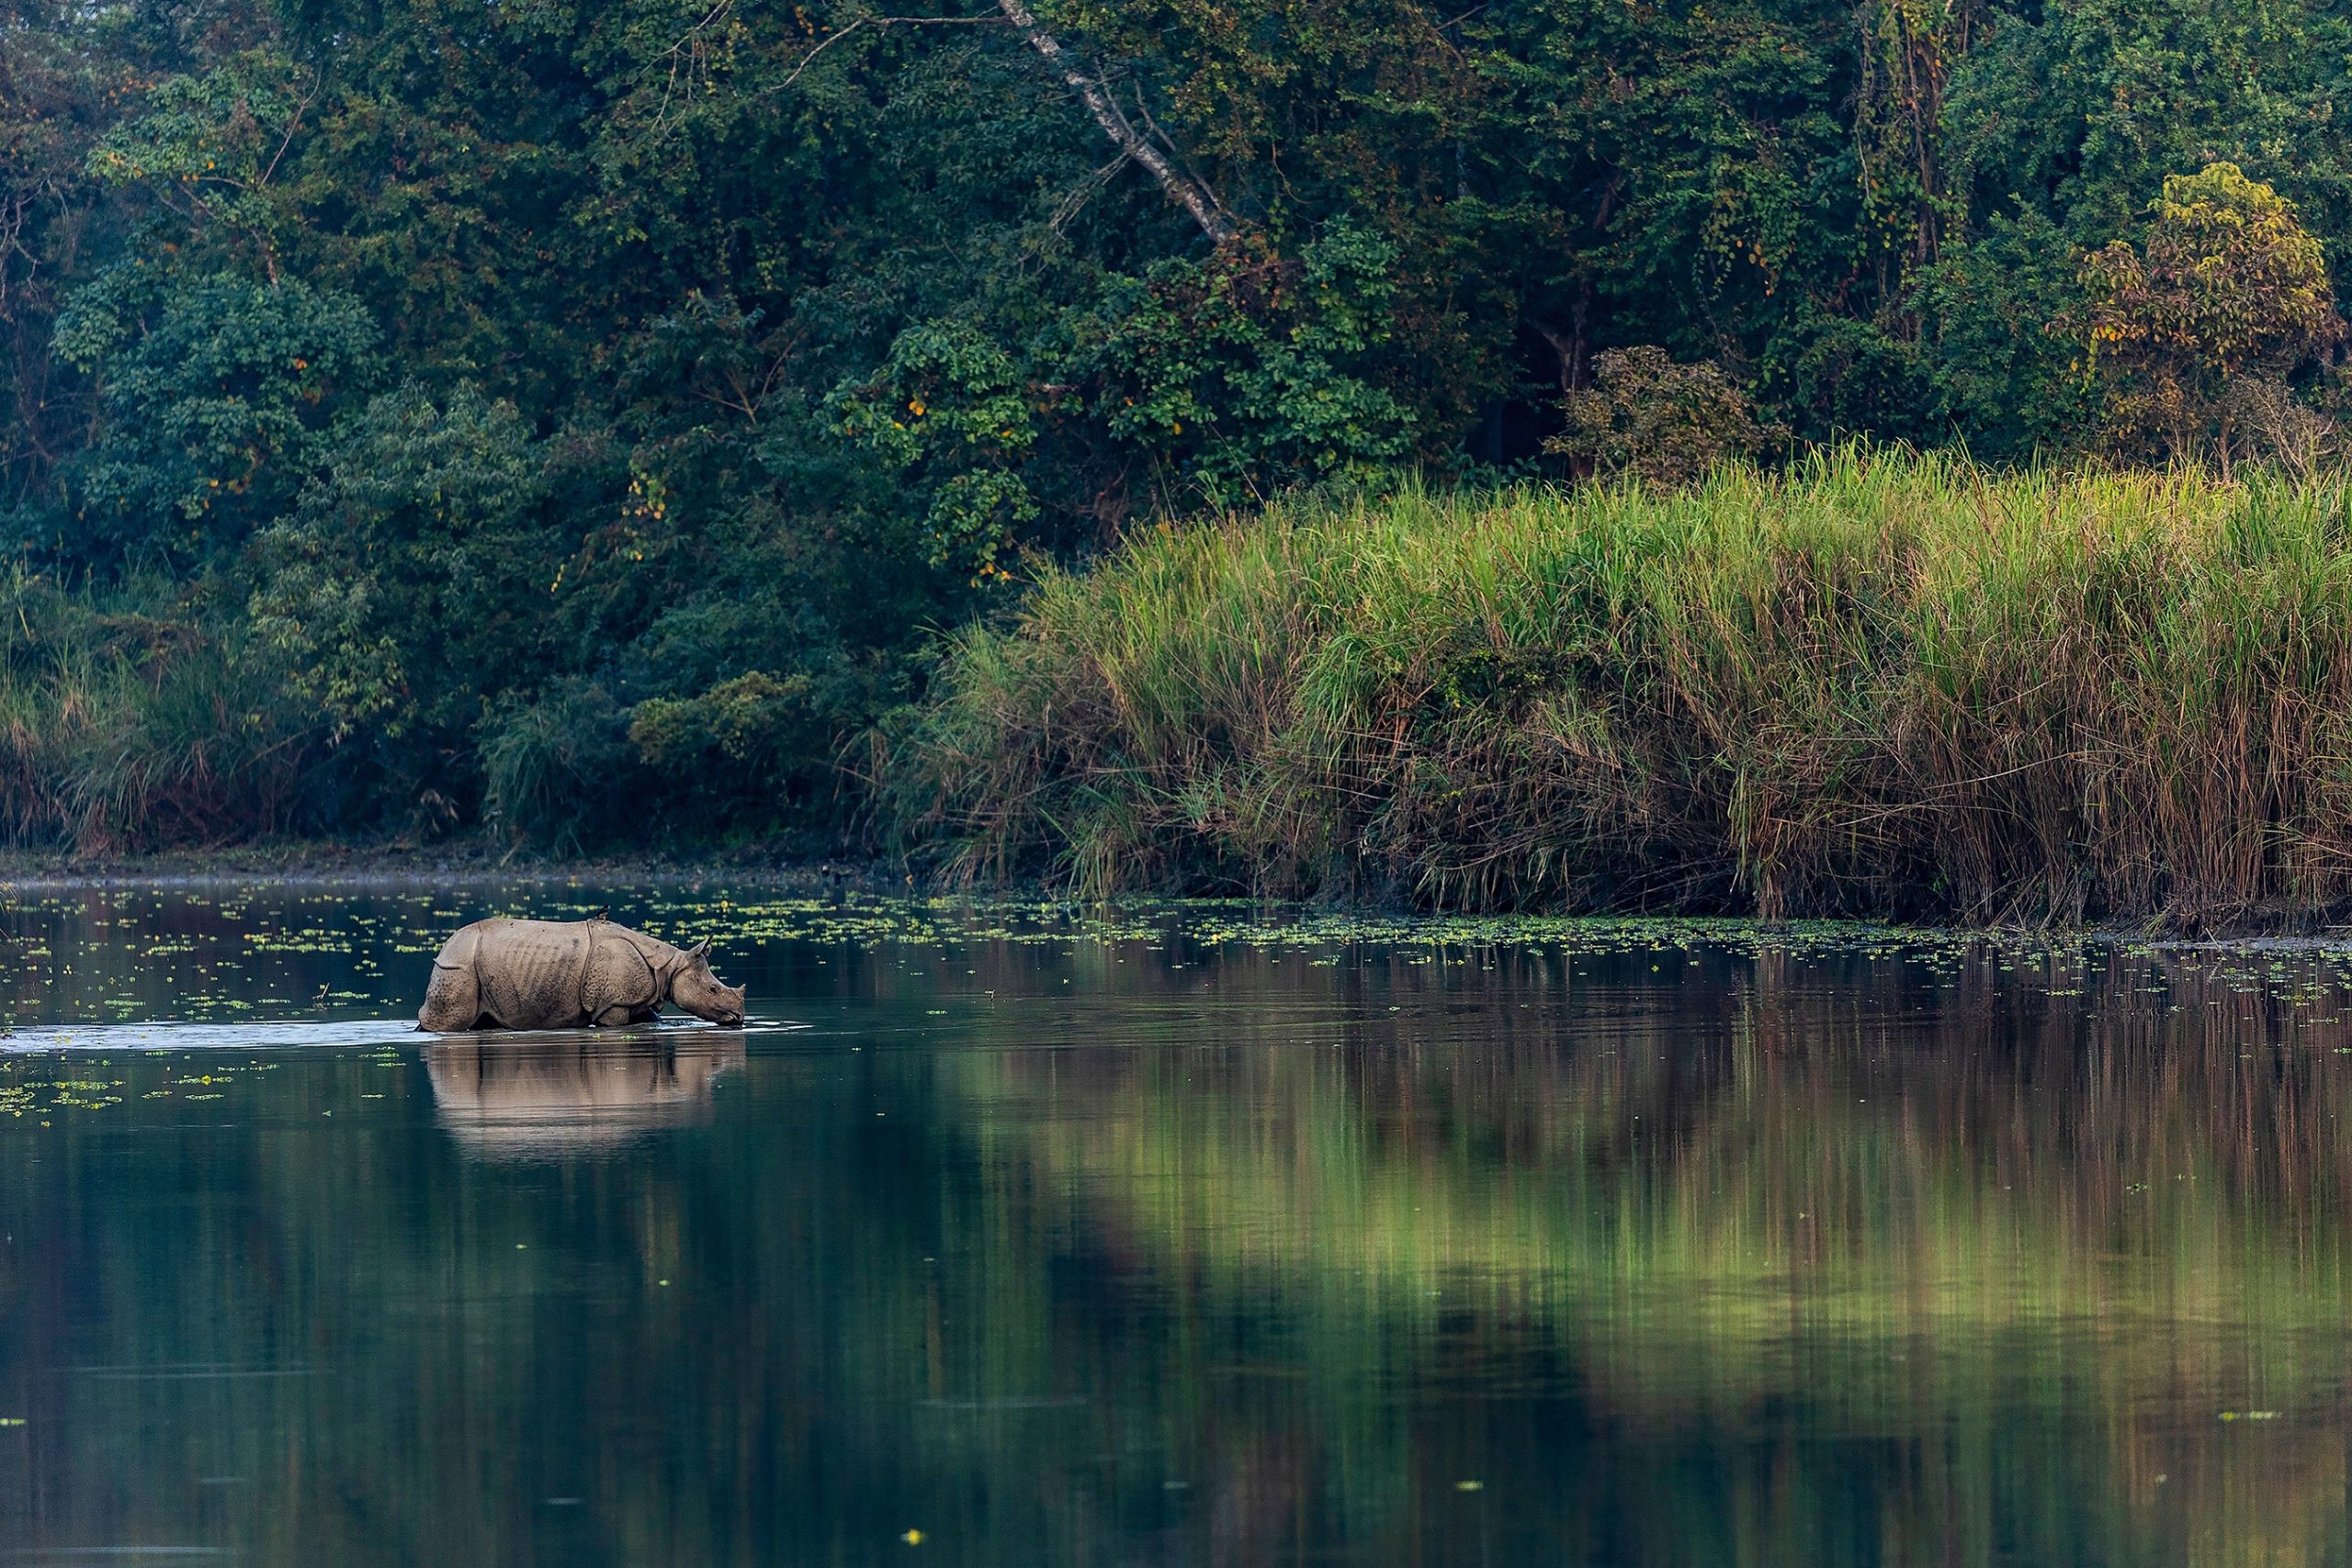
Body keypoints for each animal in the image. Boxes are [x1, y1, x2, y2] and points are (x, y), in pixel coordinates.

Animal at [417, 915, 746, 1031]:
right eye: (713, 990)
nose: (740, 1017)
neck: (668, 965)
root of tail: (446, 946)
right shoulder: (612, 1005)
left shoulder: (633, 999)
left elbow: (651, 1019)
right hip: (458, 965)